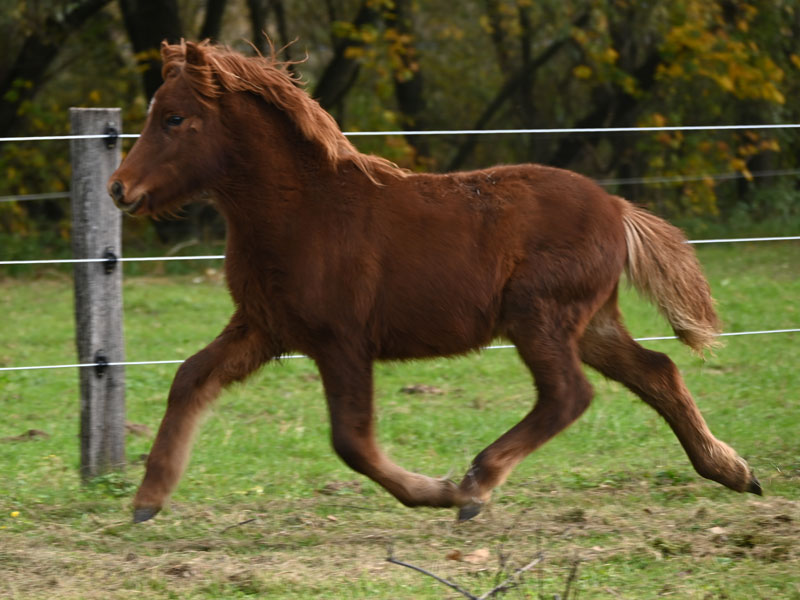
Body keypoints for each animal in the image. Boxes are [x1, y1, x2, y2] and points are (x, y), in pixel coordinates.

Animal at [108, 40, 761, 523]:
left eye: (174, 118)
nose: (119, 189)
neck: (305, 211)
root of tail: (617, 208)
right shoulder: (264, 328)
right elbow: (190, 380)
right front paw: (147, 501)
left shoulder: (341, 341)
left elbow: (351, 440)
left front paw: (438, 492)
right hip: (590, 322)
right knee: (657, 372)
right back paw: (732, 470)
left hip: (539, 316)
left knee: (569, 395)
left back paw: (476, 487)